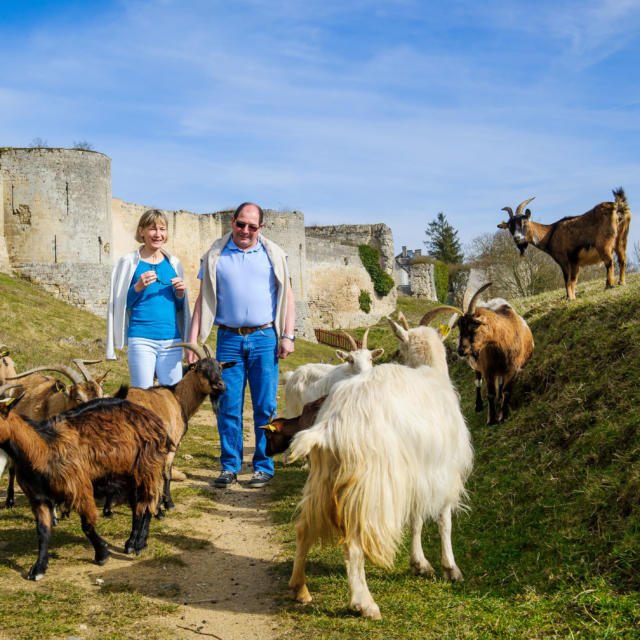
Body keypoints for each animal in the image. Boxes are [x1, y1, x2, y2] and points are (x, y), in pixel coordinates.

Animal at [0, 392, 171, 584]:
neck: (43, 449)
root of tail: (154, 419)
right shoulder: (38, 497)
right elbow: (43, 531)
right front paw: (38, 568)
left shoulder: (79, 488)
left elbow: (87, 525)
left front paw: (102, 554)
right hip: (129, 475)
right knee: (138, 507)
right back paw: (131, 543)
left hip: (147, 468)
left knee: (148, 504)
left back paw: (139, 544)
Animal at [288, 322, 472, 616]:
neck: (433, 374)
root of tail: (332, 423)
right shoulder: (444, 472)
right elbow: (444, 521)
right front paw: (450, 568)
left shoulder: (418, 475)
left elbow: (416, 520)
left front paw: (420, 563)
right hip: (369, 486)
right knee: (353, 543)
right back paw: (364, 603)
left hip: (323, 478)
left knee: (304, 528)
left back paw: (299, 588)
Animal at [500, 189, 632, 302]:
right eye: (510, 226)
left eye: (524, 222)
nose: (517, 238)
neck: (550, 233)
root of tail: (617, 206)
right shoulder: (575, 262)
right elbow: (573, 280)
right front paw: (572, 297)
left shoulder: (564, 259)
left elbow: (567, 280)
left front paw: (569, 298)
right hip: (621, 239)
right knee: (622, 260)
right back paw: (621, 282)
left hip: (604, 243)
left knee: (609, 262)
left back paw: (609, 285)